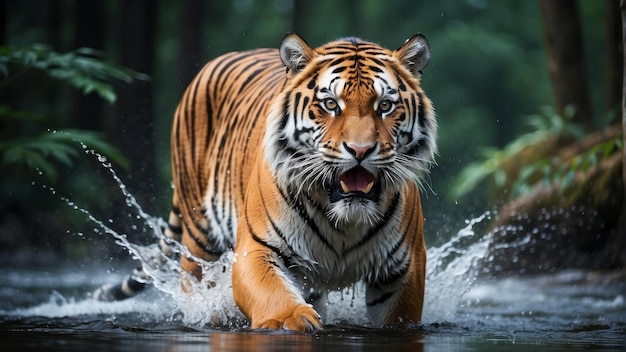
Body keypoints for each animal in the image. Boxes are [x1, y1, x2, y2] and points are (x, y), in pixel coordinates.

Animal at [94, 33, 434, 332]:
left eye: (385, 106)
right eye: (330, 104)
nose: (361, 150)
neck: (344, 220)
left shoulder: (404, 267)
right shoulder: (256, 249)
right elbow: (273, 294)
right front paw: (291, 322)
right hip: (199, 234)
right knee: (194, 281)